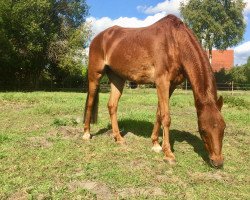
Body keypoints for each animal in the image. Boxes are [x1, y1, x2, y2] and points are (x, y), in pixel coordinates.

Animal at [83, 14, 226, 167]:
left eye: (223, 128)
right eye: (203, 130)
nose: (218, 162)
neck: (174, 42)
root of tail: (98, 37)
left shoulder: (171, 85)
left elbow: (159, 113)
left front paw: (156, 144)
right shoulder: (162, 82)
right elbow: (166, 117)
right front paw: (168, 153)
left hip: (117, 78)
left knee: (112, 105)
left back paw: (119, 138)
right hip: (95, 75)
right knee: (90, 102)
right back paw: (86, 134)